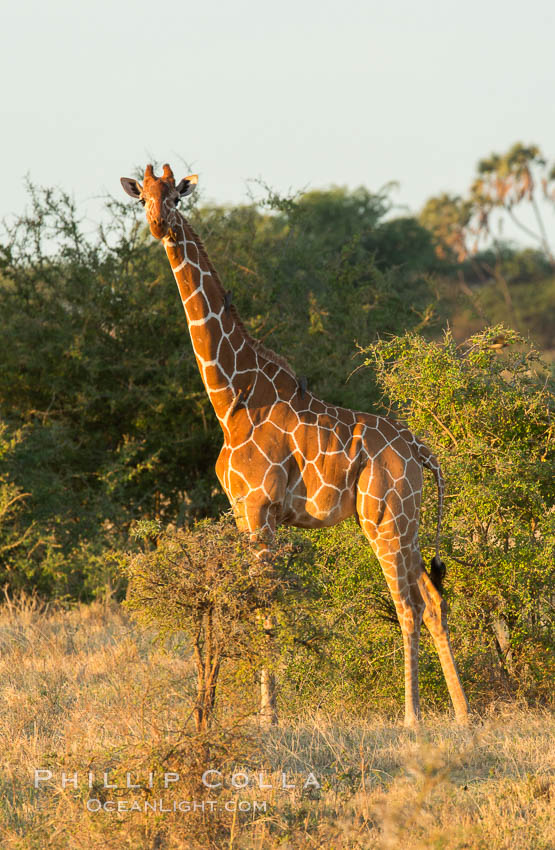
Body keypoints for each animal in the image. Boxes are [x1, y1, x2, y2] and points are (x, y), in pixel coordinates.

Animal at [120, 166, 470, 728]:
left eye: (174, 196)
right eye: (143, 199)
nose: (158, 224)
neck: (233, 400)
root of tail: (421, 451)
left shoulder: (259, 508)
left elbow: (264, 606)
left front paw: (267, 717)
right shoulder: (249, 514)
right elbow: (261, 603)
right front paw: (256, 709)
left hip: (384, 519)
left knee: (407, 605)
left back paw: (413, 716)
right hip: (410, 523)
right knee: (434, 599)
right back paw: (462, 714)